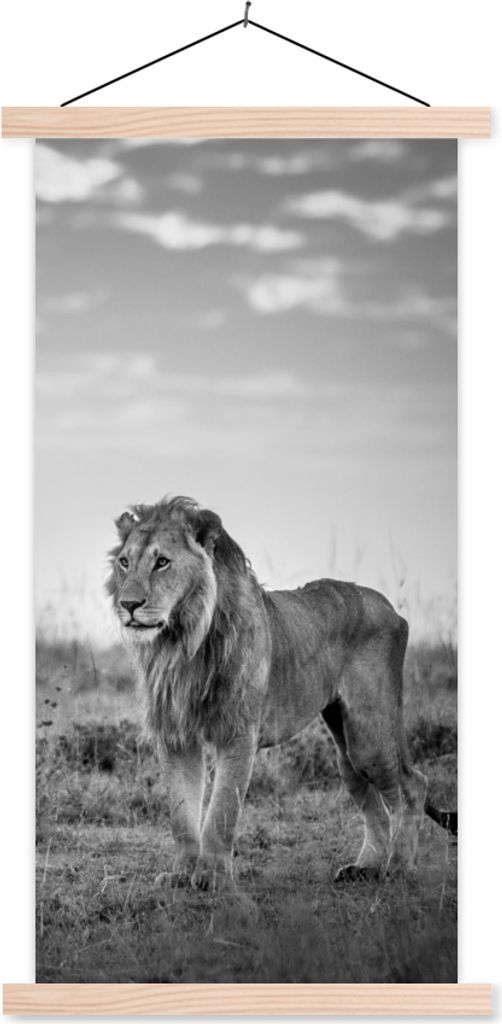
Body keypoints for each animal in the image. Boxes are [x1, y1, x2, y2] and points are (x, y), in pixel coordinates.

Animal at [107, 495, 456, 892]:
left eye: (162, 562)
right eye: (124, 562)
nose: (128, 605)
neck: (183, 643)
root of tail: (389, 607)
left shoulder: (238, 734)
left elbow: (222, 812)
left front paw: (212, 877)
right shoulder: (176, 736)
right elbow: (182, 815)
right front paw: (182, 875)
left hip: (370, 736)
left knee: (413, 785)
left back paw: (399, 867)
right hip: (345, 745)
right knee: (374, 802)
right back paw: (364, 867)